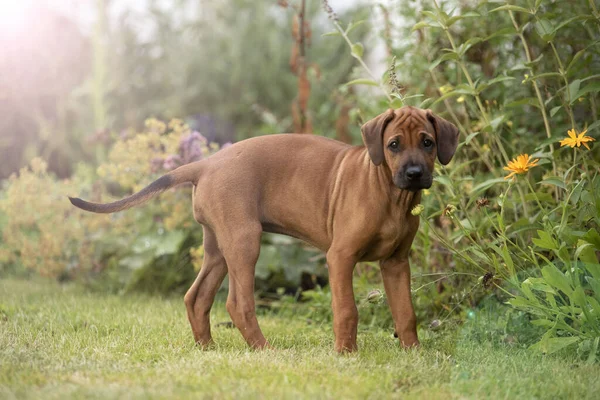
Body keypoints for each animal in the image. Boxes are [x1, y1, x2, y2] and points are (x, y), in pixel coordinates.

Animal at [72, 107, 462, 354]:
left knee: (196, 297)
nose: (414, 173)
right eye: (393, 144)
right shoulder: (340, 257)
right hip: (245, 242)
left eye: (427, 142)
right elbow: (347, 309)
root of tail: (205, 163)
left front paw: (413, 353)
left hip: (218, 247)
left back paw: (207, 349)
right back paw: (264, 349)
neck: (391, 195)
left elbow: (406, 313)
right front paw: (346, 354)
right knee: (237, 303)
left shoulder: (396, 263)